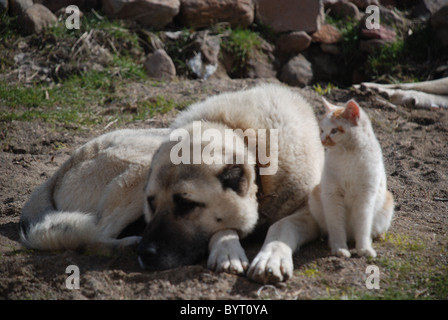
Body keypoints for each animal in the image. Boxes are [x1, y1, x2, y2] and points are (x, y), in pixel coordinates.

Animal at [19, 84, 324, 284]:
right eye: (151, 204)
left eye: (186, 204)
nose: (146, 254)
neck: (248, 137)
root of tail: (59, 171)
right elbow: (222, 229)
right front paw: (228, 251)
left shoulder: (312, 213)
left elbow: (281, 225)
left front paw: (270, 258)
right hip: (139, 168)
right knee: (95, 234)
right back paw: (127, 243)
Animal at [310, 97, 394, 258]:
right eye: (322, 130)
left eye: (334, 130)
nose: (322, 140)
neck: (347, 155)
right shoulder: (332, 196)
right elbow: (336, 226)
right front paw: (339, 248)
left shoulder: (365, 197)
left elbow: (363, 225)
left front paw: (364, 249)